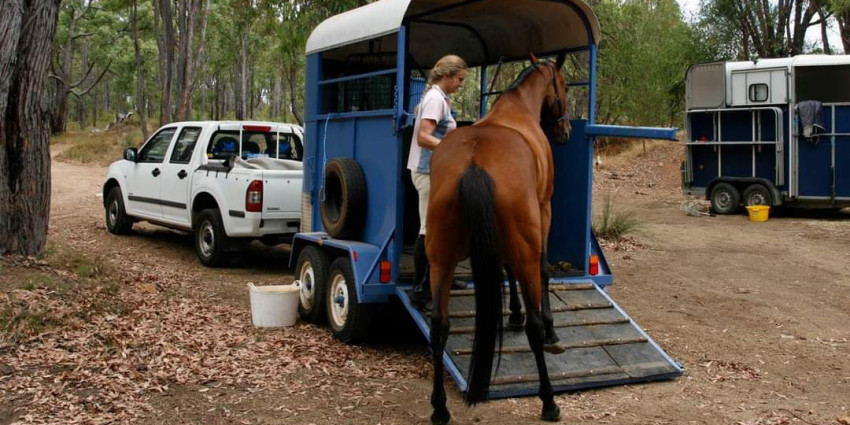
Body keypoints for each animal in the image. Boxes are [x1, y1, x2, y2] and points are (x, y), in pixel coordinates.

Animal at [424, 56, 568, 424]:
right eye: (562, 85)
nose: (565, 131)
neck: (518, 109)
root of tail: (475, 163)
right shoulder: (544, 211)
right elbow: (542, 270)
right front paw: (549, 328)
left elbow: (506, 271)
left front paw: (513, 312)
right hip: (525, 242)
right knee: (533, 324)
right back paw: (549, 401)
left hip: (441, 260)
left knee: (439, 326)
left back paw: (440, 407)